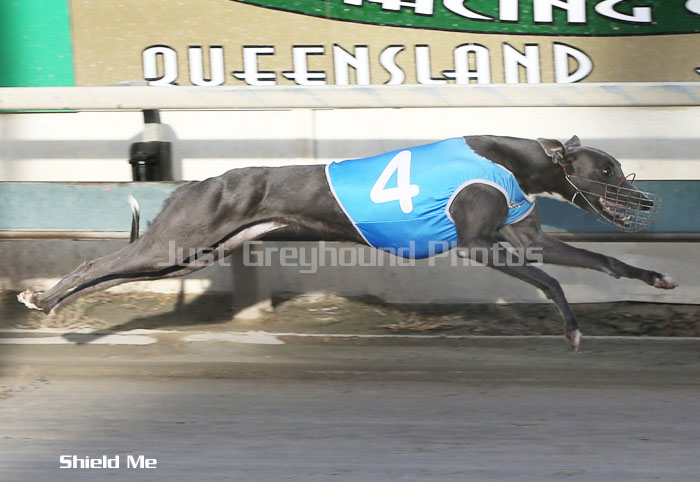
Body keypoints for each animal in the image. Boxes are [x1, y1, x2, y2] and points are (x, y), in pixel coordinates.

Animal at [18, 135, 678, 350]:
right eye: (608, 169)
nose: (647, 201)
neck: (522, 161)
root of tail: (197, 182)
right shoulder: (478, 243)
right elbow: (550, 279)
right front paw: (571, 329)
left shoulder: (527, 238)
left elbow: (600, 259)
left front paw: (657, 278)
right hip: (176, 244)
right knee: (96, 261)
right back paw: (42, 302)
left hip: (187, 254)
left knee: (108, 270)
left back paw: (51, 306)